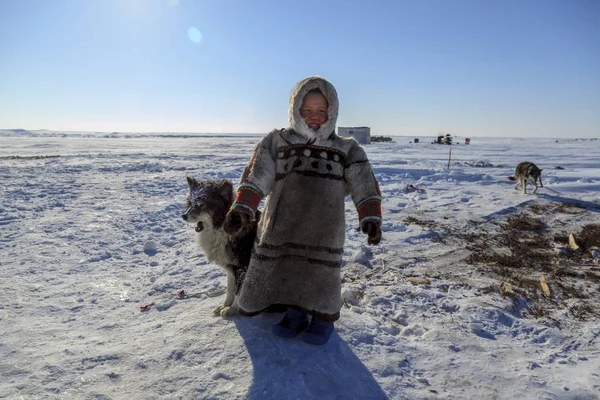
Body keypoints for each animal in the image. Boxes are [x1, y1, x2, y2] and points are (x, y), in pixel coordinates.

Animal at [182, 177, 258, 318]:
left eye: (202, 204)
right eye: (191, 203)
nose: (183, 216)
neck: (222, 226)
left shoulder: (243, 266)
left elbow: (238, 291)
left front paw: (232, 309)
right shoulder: (231, 268)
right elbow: (230, 289)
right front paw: (225, 305)